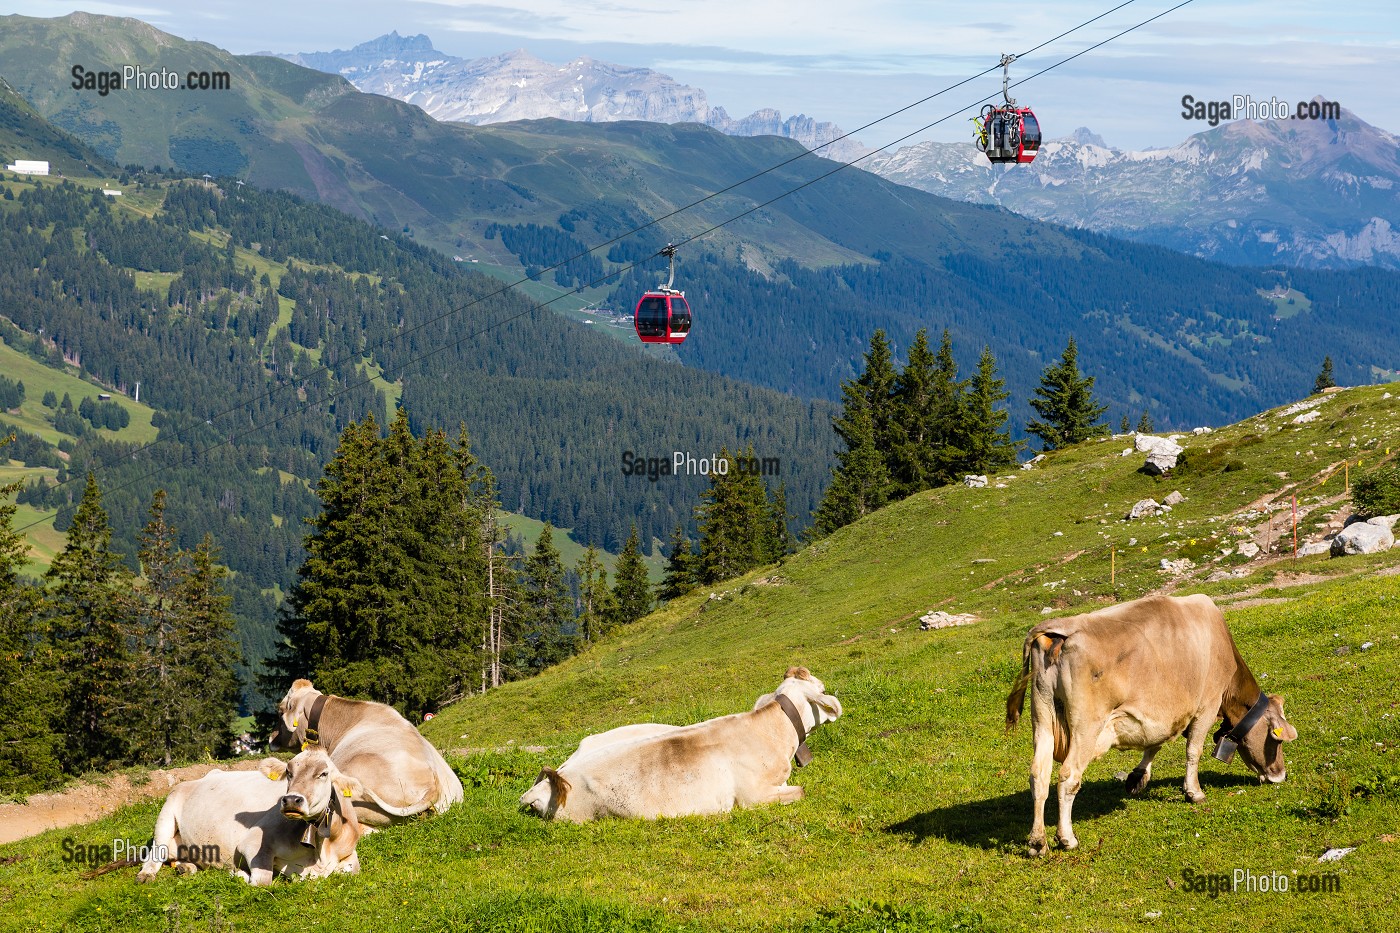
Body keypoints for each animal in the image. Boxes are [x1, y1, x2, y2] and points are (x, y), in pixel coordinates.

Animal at [136, 748, 365, 885]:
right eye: (288, 772)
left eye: (324, 774)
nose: (291, 800)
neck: (320, 851)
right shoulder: (253, 843)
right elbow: (262, 880)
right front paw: (237, 873)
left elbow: (354, 869)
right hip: (167, 814)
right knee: (156, 852)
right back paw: (146, 874)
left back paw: (186, 867)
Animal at [1005, 593, 1298, 856]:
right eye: (1276, 738)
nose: (1280, 775)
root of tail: (1060, 629)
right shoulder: (1206, 705)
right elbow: (1194, 751)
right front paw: (1194, 792)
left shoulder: (1163, 714)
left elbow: (1155, 742)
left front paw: (1138, 777)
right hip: (1086, 726)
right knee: (1068, 777)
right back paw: (1066, 838)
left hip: (1042, 717)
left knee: (1038, 775)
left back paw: (1037, 842)